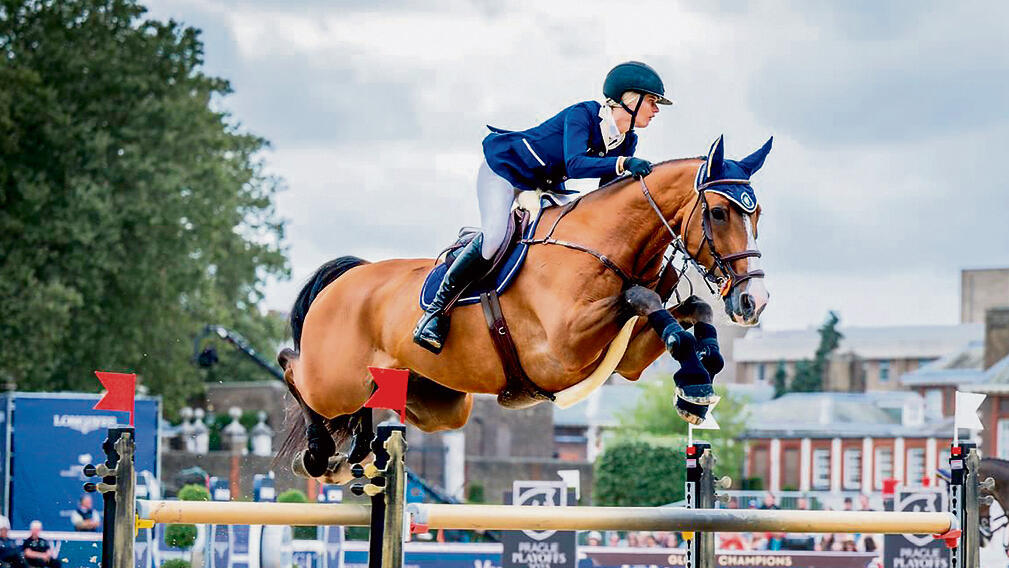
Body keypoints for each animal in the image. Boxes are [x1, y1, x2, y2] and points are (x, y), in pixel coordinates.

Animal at [277, 135, 772, 482]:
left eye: (757, 215)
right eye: (720, 213)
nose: (754, 302)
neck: (602, 246)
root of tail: (347, 277)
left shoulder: (623, 357)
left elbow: (693, 309)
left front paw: (700, 375)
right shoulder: (561, 349)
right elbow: (643, 298)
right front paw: (695, 378)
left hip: (437, 402)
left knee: (372, 400)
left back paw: (357, 448)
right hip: (334, 379)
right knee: (291, 366)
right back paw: (318, 454)